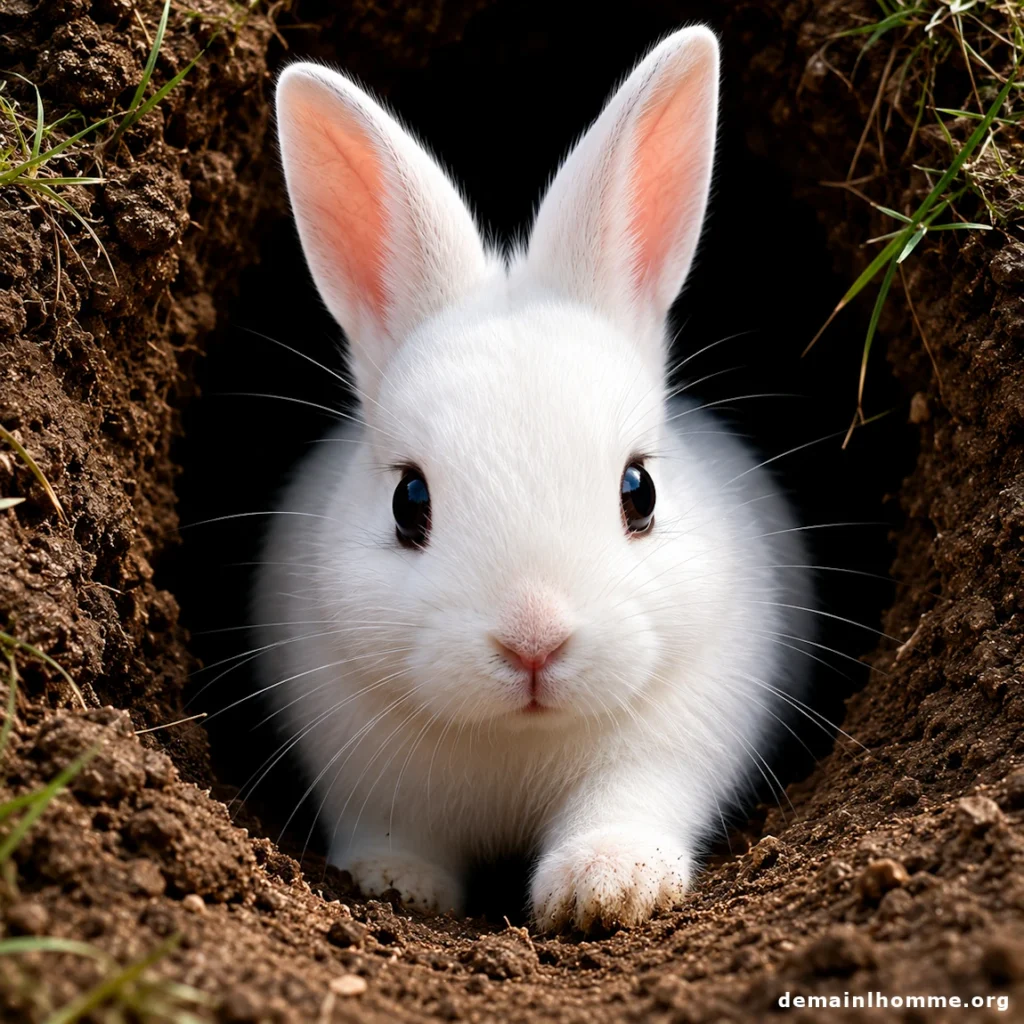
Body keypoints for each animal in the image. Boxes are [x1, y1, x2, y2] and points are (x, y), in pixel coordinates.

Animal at [254, 24, 815, 933]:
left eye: (639, 492)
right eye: (409, 501)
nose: (533, 643)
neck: (517, 738)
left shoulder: (667, 749)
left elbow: (627, 805)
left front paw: (607, 888)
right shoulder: (368, 776)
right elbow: (394, 834)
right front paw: (394, 883)